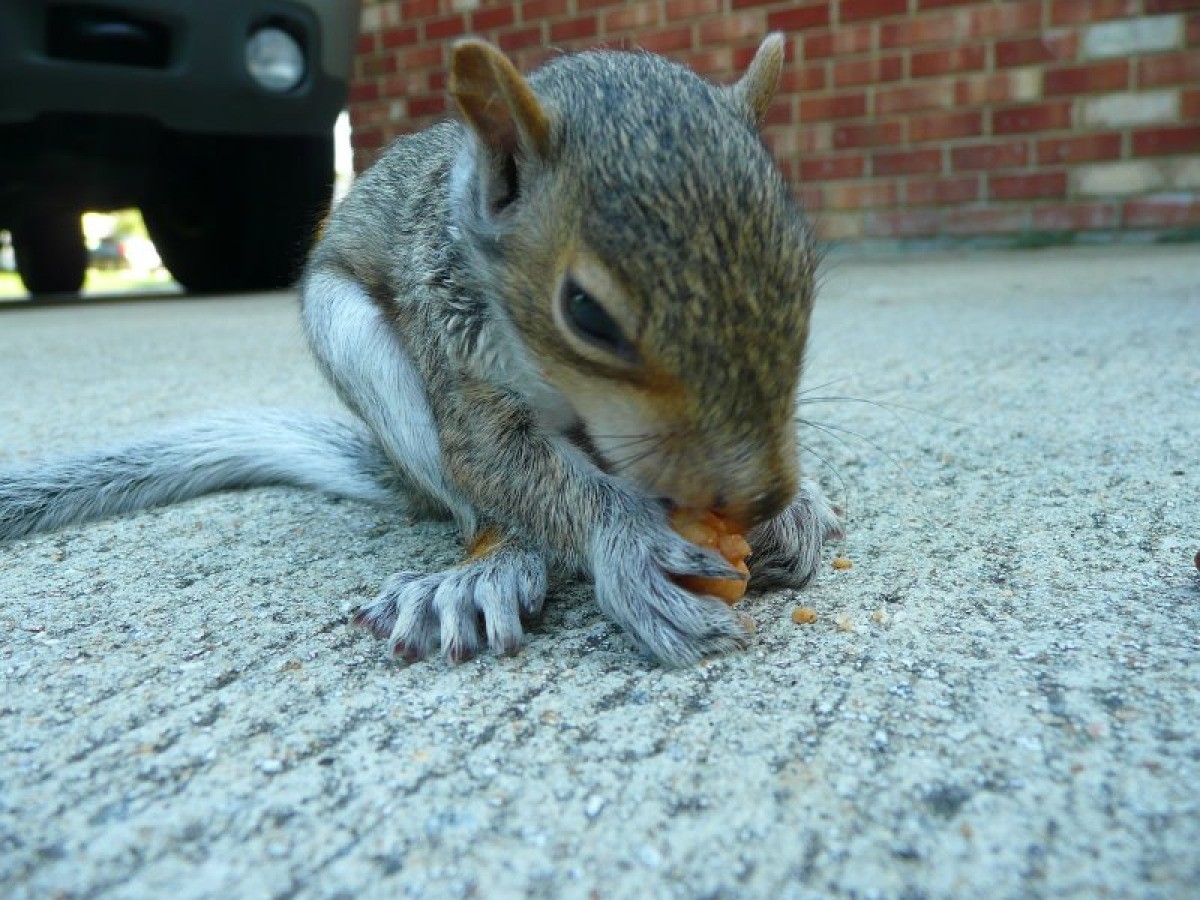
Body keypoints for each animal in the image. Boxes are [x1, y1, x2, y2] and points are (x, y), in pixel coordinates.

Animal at [0, 35, 841, 666]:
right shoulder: (457, 351)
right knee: (481, 510)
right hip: (368, 362)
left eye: (805, 259)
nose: (763, 497)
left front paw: (799, 506)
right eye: (586, 314)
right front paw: (630, 546)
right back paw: (486, 570)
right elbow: (505, 466)